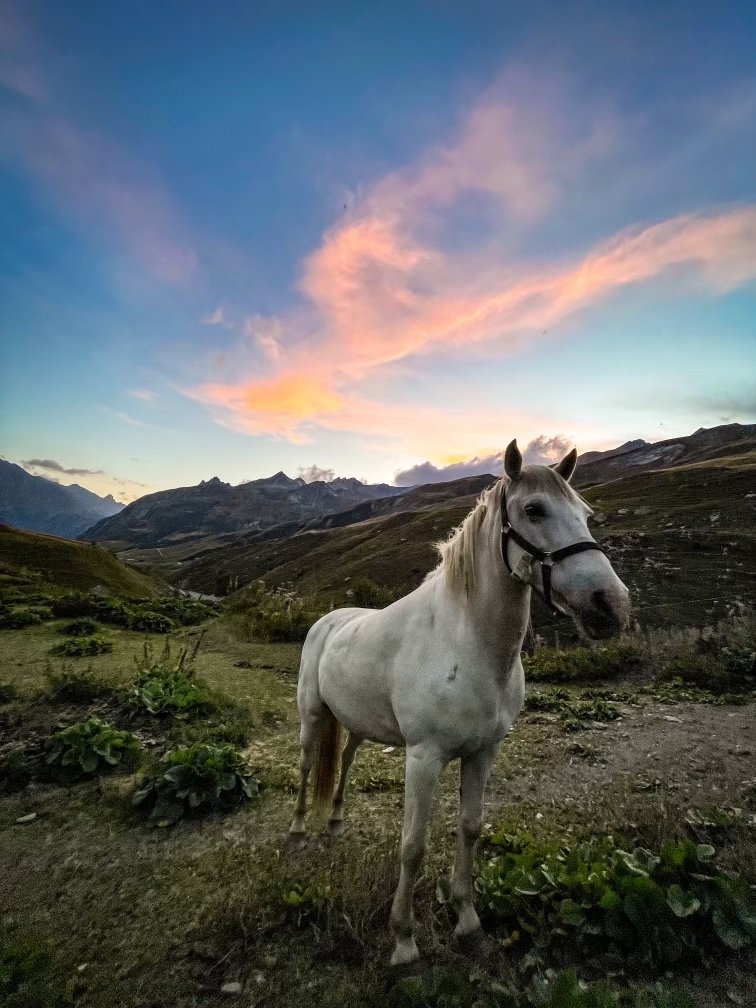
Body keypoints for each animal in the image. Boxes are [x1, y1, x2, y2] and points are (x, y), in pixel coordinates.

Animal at [288, 439, 630, 965]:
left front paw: (467, 918)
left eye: (586, 514)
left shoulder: (483, 752)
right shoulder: (424, 758)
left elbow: (470, 826)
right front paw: (404, 940)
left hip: (357, 724)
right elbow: (413, 845)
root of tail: (328, 620)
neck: (467, 645)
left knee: (344, 759)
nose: (610, 603)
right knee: (307, 765)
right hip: (312, 716)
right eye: (534, 509)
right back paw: (300, 829)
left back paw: (337, 819)